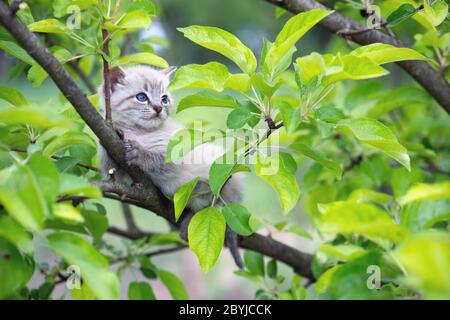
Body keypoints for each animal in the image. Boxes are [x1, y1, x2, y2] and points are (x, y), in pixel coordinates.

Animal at [100, 66, 244, 268]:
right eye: (141, 97)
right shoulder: (116, 169)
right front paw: (119, 134)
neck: (139, 132)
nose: (159, 108)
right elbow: (111, 165)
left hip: (223, 175)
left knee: (218, 205)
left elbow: (156, 160)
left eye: (164, 99)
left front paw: (138, 152)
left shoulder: (176, 157)